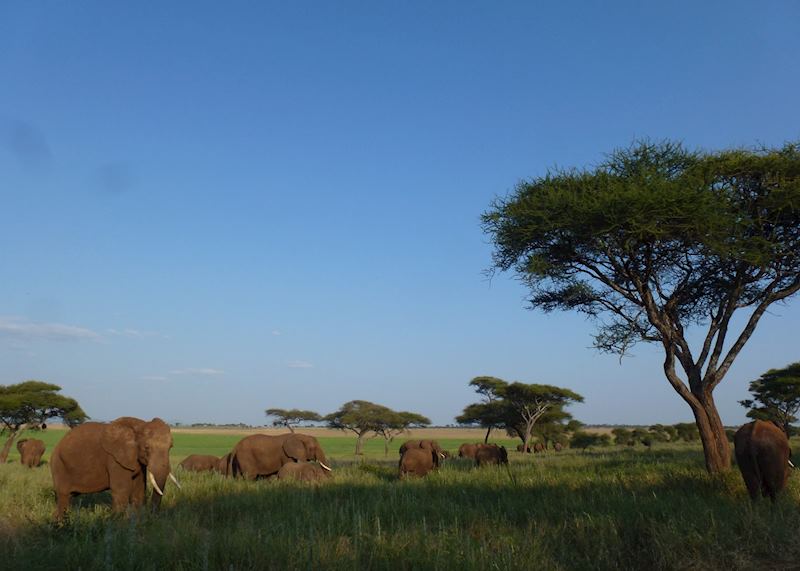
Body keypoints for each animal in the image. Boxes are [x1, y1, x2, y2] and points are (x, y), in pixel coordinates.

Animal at [50, 417, 180, 521]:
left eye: (171, 447)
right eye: (146, 447)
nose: (152, 517)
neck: (140, 425)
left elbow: (139, 490)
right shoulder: (114, 459)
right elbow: (122, 490)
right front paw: (119, 523)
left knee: (68, 498)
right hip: (58, 465)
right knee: (63, 497)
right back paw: (61, 524)